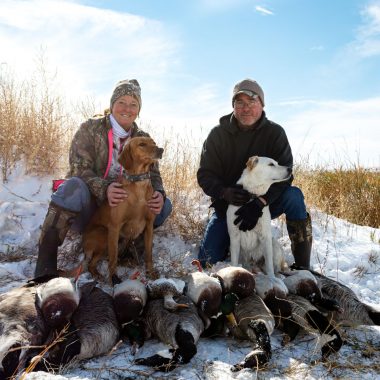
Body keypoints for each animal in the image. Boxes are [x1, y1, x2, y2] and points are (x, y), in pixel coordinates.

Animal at [66, 137, 163, 282]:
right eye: (142, 144)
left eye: (154, 143)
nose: (161, 150)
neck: (139, 185)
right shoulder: (115, 226)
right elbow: (113, 257)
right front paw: (114, 279)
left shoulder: (149, 226)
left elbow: (149, 254)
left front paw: (151, 273)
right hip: (103, 234)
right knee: (93, 263)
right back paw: (97, 275)